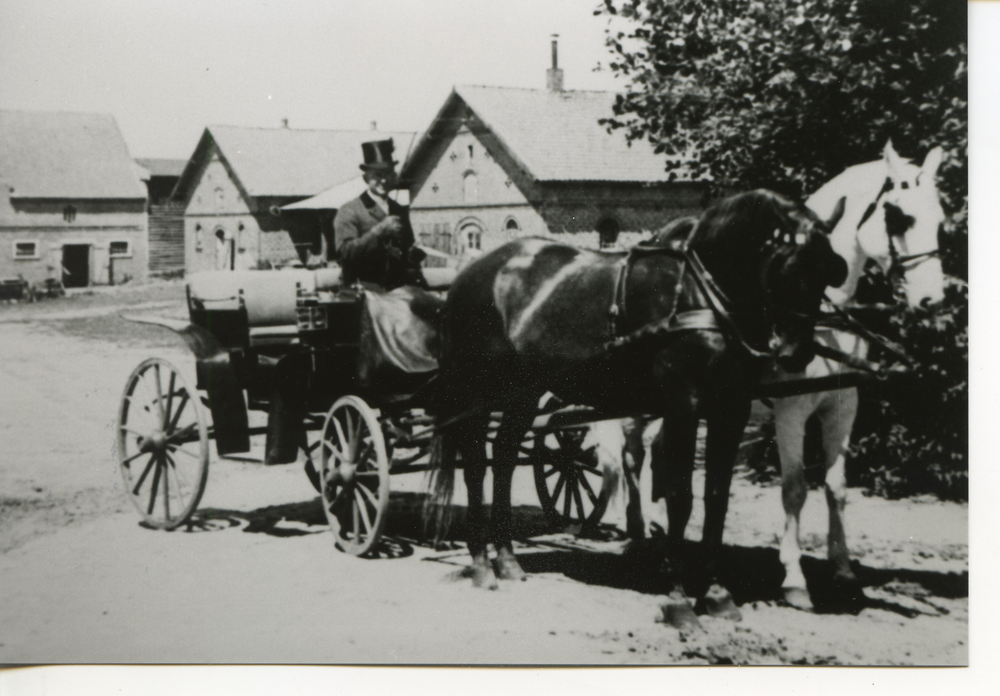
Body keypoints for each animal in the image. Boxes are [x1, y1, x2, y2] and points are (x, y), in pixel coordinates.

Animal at [426, 190, 848, 604]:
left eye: (829, 269)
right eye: (784, 266)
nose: (795, 353)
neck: (698, 291)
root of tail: (471, 273)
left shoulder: (732, 407)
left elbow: (716, 496)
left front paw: (715, 591)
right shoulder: (683, 402)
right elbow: (680, 494)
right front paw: (677, 587)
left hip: (523, 391)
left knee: (504, 458)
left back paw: (508, 560)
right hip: (476, 393)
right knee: (476, 465)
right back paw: (482, 564)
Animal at [596, 140, 948, 608]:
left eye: (939, 218)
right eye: (898, 216)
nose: (932, 300)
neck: (824, 320)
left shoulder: (842, 406)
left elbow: (836, 487)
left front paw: (843, 571)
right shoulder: (790, 411)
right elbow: (795, 488)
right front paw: (794, 579)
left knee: (654, 451)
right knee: (631, 453)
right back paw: (636, 532)